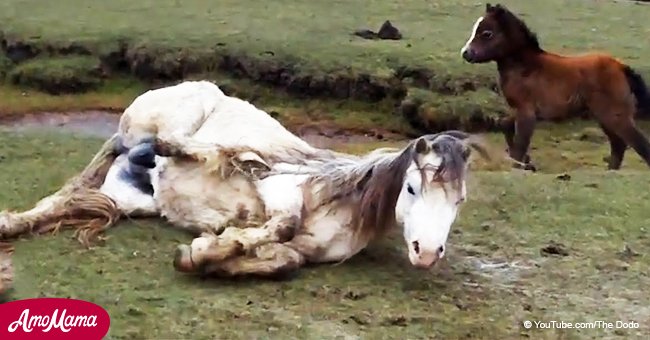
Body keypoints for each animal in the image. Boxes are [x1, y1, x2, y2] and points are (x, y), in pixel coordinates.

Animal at [0, 81, 486, 278]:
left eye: (459, 201)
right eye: (412, 188)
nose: (427, 253)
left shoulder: (300, 253)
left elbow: (284, 261)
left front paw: (209, 256)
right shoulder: (279, 192)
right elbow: (281, 221)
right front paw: (205, 248)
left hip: (131, 198)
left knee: (72, 199)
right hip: (137, 130)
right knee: (108, 162)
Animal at [458, 3, 644, 170]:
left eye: (487, 33)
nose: (466, 53)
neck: (525, 67)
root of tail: (621, 67)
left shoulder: (527, 112)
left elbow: (521, 142)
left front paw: (519, 165)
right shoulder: (517, 110)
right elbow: (506, 127)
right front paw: (527, 162)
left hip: (615, 115)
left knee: (637, 141)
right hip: (605, 117)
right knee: (619, 144)